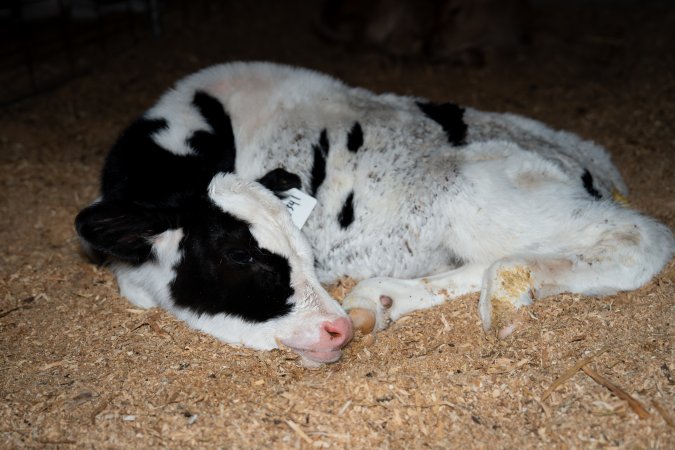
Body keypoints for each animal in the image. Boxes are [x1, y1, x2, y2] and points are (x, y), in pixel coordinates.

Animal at [75, 62, 674, 365]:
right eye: (238, 254)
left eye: (304, 250)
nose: (336, 330)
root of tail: (595, 165)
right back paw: (380, 299)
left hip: (477, 191)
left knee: (639, 237)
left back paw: (508, 290)